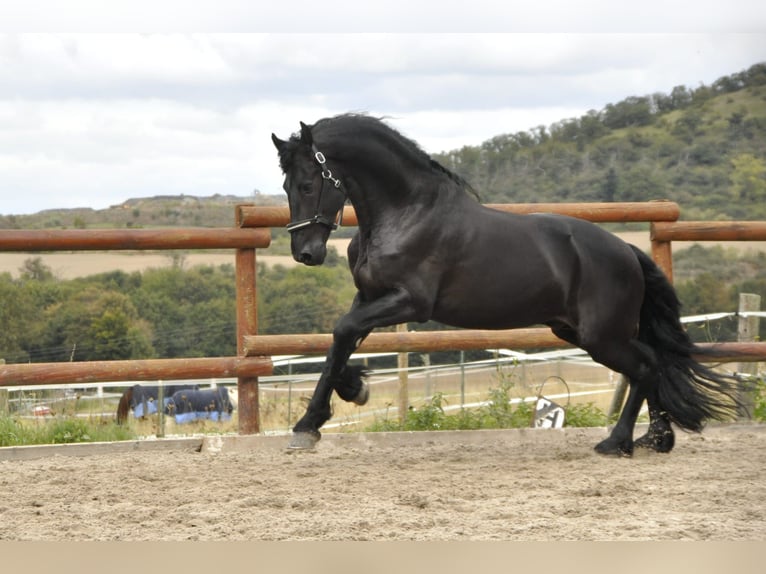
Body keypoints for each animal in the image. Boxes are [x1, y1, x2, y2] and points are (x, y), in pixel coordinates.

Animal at [271, 113, 746, 456]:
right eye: (286, 185)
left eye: (308, 184)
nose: (305, 253)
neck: (407, 212)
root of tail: (627, 251)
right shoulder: (369, 296)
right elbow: (340, 342)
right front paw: (341, 399)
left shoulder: (410, 303)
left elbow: (343, 332)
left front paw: (316, 419)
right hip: (578, 331)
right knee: (654, 363)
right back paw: (656, 439)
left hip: (601, 336)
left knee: (647, 367)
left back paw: (619, 443)